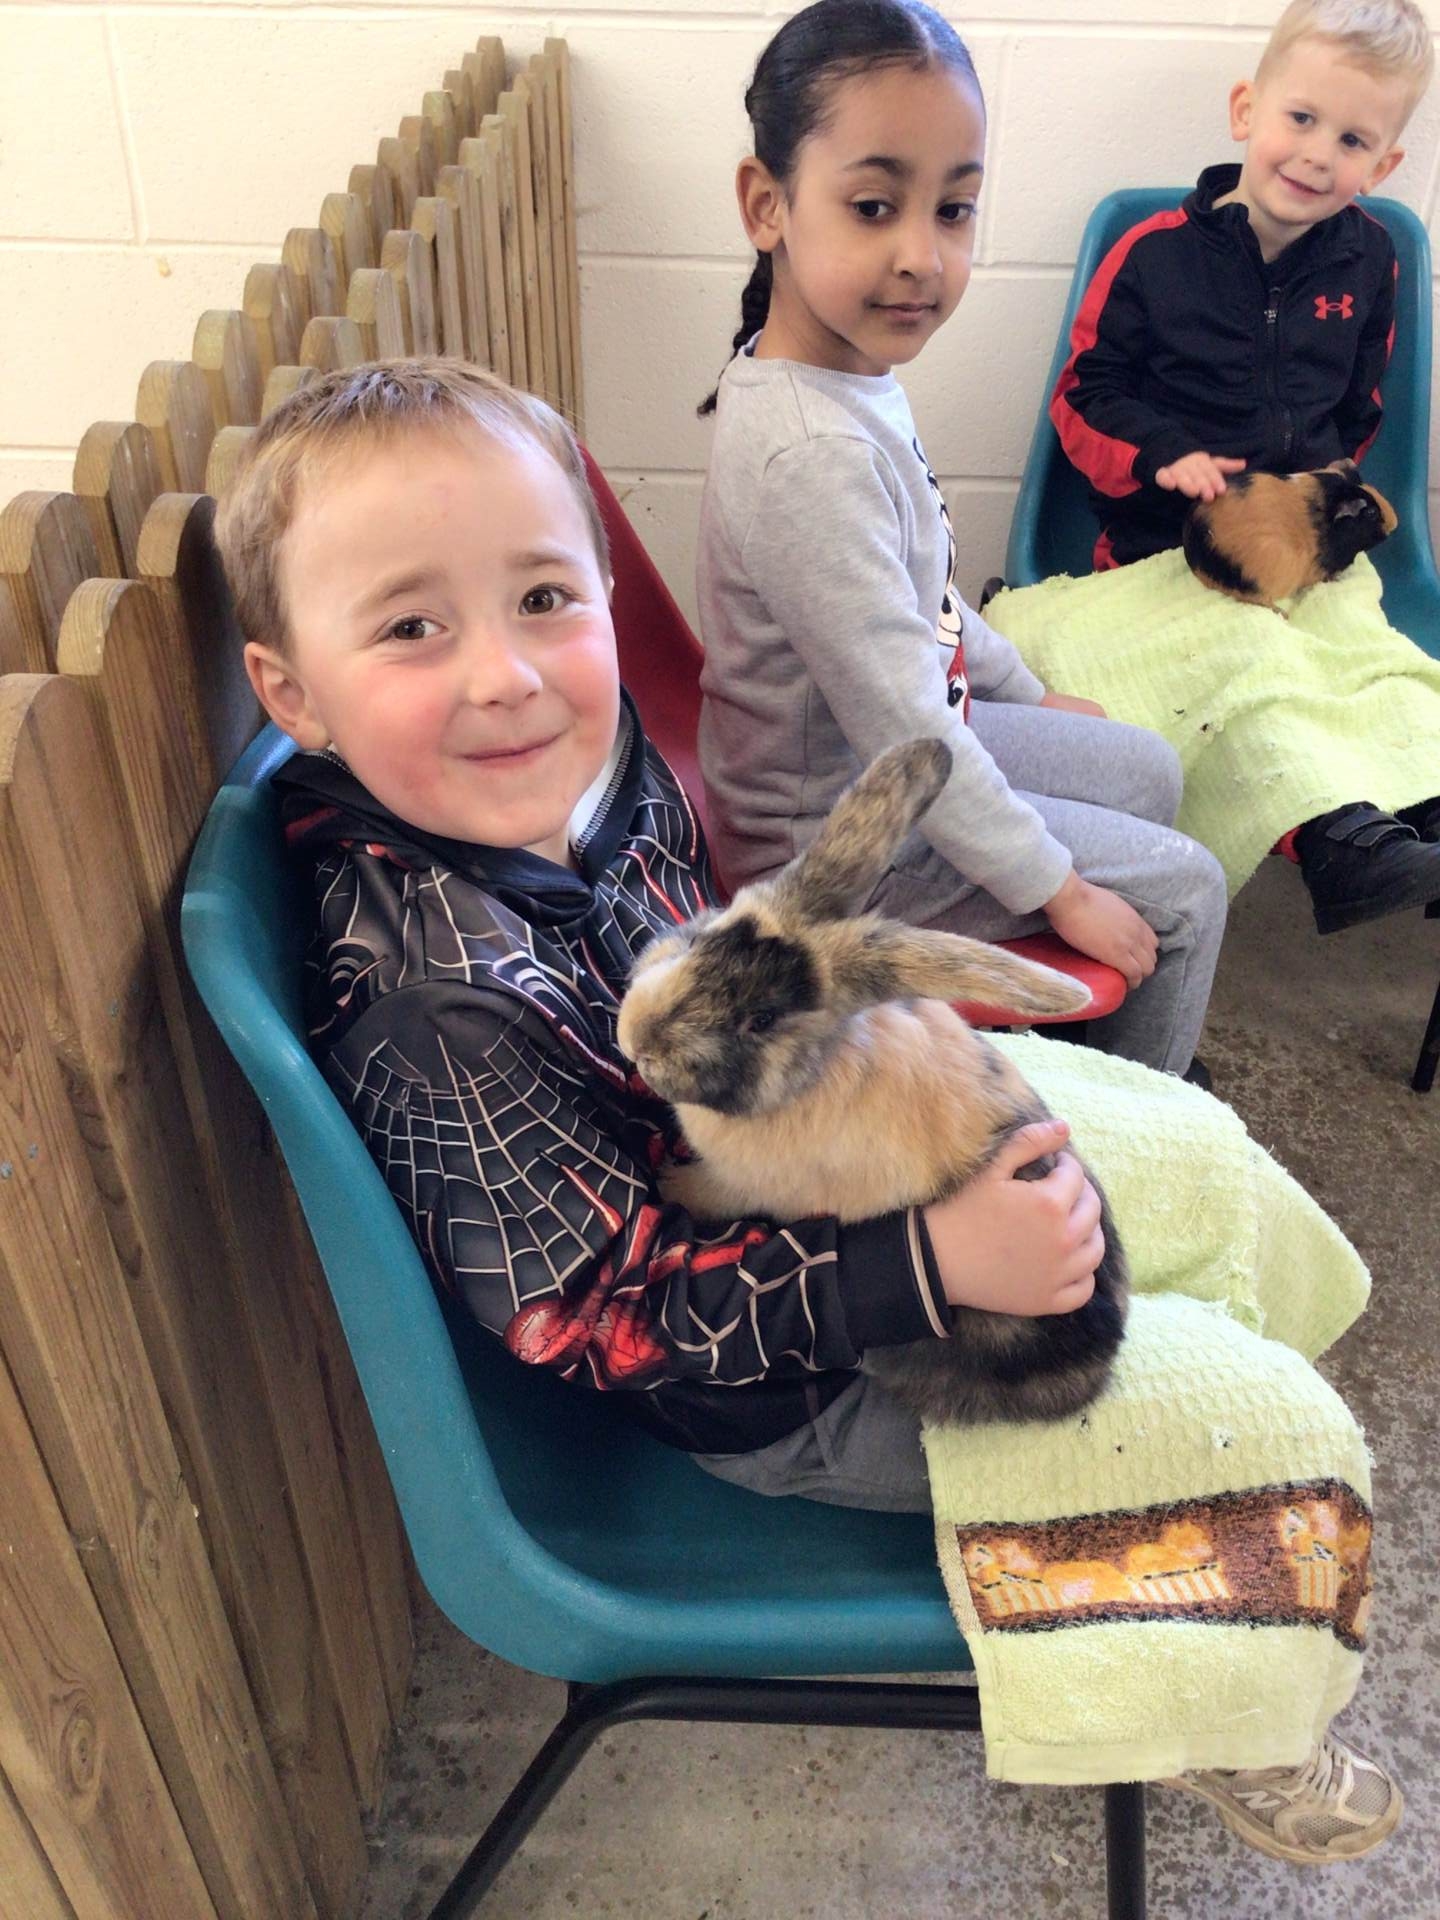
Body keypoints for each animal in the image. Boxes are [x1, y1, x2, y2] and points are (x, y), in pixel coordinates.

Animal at [616, 738, 1130, 1428]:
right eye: (703, 935)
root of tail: (1097, 1373)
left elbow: (709, 1192)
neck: (808, 1073)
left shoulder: (746, 1185)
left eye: (762, 1019)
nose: (637, 1040)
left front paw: (670, 1182)